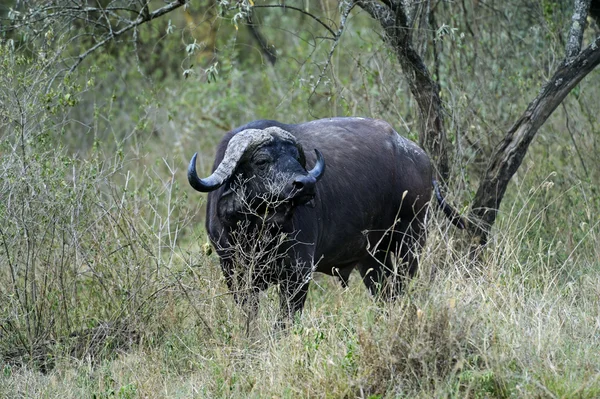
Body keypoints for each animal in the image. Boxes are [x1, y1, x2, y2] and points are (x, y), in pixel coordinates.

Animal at [188, 117, 464, 326]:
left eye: (296, 158)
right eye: (261, 161)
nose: (306, 184)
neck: (258, 231)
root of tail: (418, 156)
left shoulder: (298, 274)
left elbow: (285, 321)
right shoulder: (233, 273)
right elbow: (250, 317)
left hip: (411, 237)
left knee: (401, 286)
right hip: (372, 258)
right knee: (384, 293)